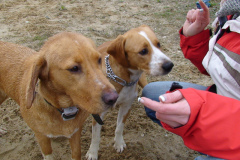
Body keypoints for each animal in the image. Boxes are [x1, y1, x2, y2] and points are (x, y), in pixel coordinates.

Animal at [86, 24, 172, 159]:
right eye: (143, 51)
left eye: (158, 44)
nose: (169, 65)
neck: (123, 80)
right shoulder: (98, 113)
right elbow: (95, 136)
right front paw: (92, 153)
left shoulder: (126, 106)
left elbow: (119, 128)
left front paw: (118, 143)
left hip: (144, 82)